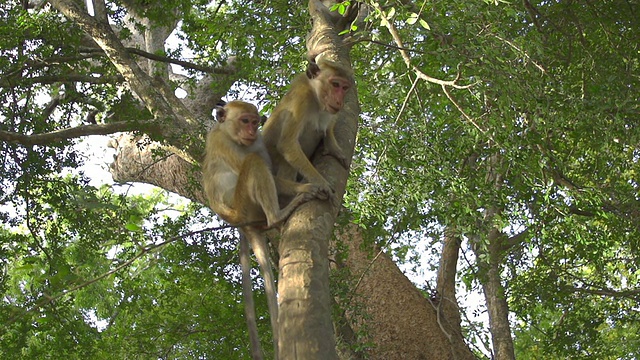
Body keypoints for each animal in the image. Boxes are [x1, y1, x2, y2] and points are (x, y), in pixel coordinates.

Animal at [202, 100, 318, 358]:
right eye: (245, 121)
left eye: (255, 122)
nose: (252, 130)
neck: (230, 134)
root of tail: (242, 224)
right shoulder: (225, 143)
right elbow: (261, 169)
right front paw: (309, 186)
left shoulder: (257, 143)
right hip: (246, 207)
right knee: (253, 163)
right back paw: (278, 215)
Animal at [264, 55, 356, 200]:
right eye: (335, 84)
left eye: (344, 87)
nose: (339, 101)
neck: (316, 97)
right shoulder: (301, 99)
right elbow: (287, 144)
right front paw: (321, 182)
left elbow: (328, 126)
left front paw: (333, 148)